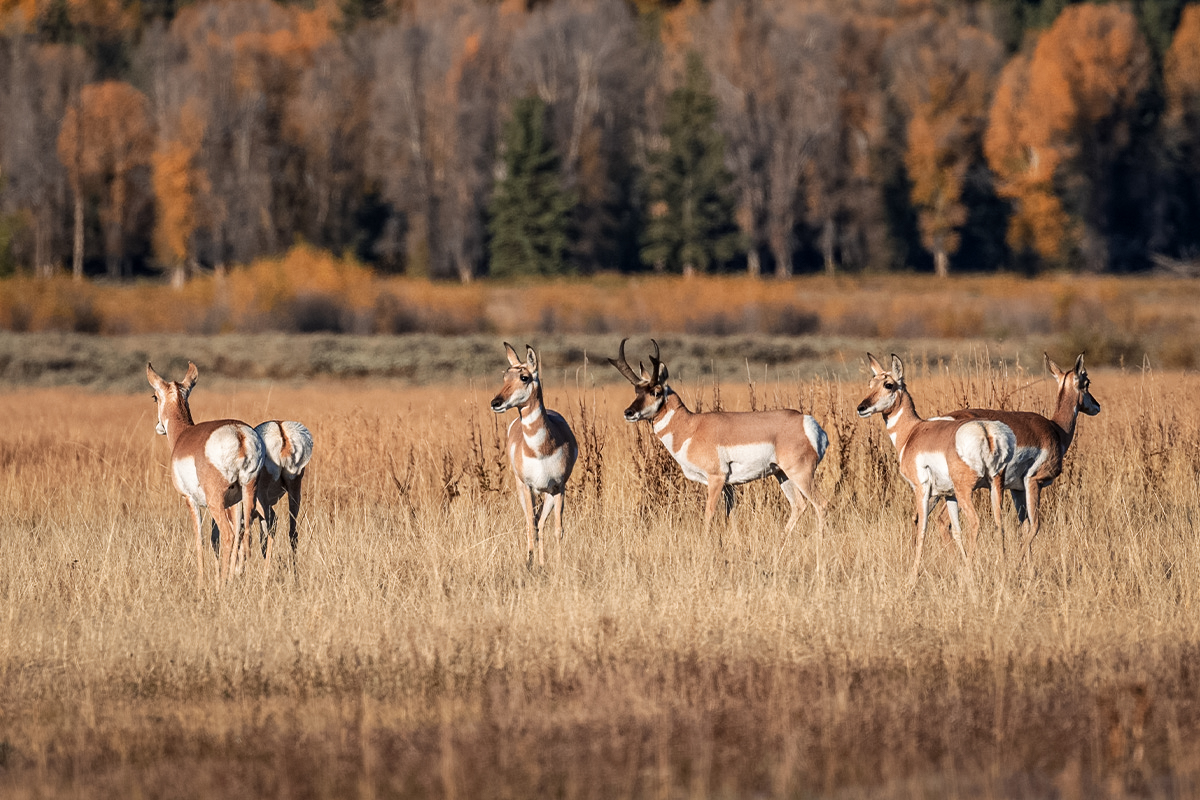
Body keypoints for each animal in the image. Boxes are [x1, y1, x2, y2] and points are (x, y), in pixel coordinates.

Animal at [146, 362, 264, 587]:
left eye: (154, 397)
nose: (158, 428)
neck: (183, 435)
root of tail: (239, 433)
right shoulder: (233, 503)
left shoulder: (190, 500)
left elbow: (199, 538)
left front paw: (200, 581)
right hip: (248, 493)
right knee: (244, 534)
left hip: (215, 501)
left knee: (228, 535)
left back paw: (221, 585)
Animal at [489, 345, 578, 568]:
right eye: (505, 376)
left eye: (524, 377)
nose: (496, 402)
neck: (540, 451)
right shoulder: (528, 487)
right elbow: (531, 524)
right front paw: (528, 562)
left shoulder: (559, 488)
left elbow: (558, 529)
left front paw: (558, 564)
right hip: (525, 490)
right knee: (534, 522)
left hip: (546, 494)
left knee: (542, 522)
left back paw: (542, 562)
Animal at [609, 338, 825, 537]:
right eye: (637, 391)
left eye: (656, 391)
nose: (628, 413)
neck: (691, 427)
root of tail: (805, 421)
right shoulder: (729, 486)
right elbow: (731, 516)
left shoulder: (716, 478)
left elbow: (709, 513)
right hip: (782, 474)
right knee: (798, 505)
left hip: (801, 474)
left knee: (820, 505)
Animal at [859, 352, 1017, 585]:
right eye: (871, 383)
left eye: (888, 384)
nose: (861, 408)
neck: (912, 432)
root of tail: (985, 429)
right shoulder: (948, 495)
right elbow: (956, 531)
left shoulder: (922, 490)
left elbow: (922, 528)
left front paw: (912, 576)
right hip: (994, 486)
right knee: (999, 523)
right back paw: (1003, 571)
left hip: (965, 491)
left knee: (975, 522)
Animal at [940, 352, 1099, 566]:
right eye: (1086, 382)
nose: (1097, 406)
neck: (1056, 429)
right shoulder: (1034, 482)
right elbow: (1035, 526)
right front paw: (1016, 564)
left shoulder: (1017, 490)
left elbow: (1024, 527)